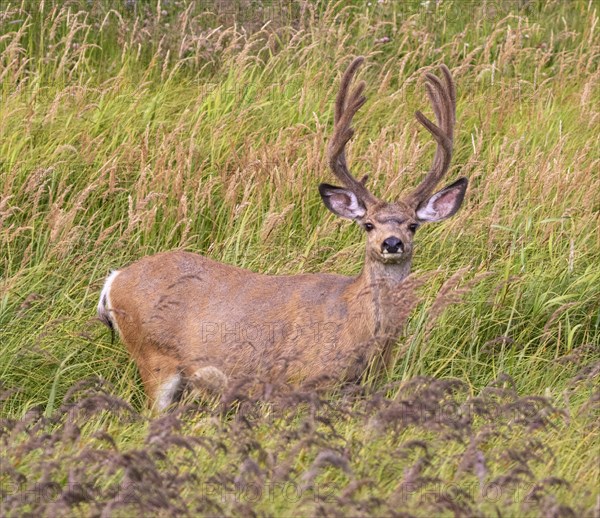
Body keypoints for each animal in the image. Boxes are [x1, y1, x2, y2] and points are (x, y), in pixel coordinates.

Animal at [97, 57, 468, 412]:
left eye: (412, 224)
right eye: (368, 224)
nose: (392, 243)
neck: (357, 327)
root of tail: (115, 279)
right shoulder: (297, 380)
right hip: (153, 356)